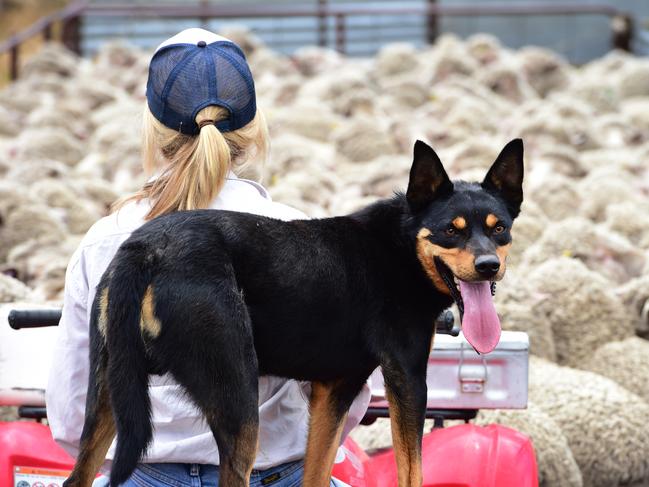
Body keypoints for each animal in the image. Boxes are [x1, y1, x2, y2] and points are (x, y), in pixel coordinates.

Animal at [64, 138, 520, 487]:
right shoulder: (407, 378)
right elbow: (413, 471)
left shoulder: (334, 390)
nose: (487, 266)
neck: (401, 246)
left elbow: (316, 471)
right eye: (450, 231)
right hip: (237, 401)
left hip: (109, 392)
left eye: (499, 229)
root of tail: (148, 249)